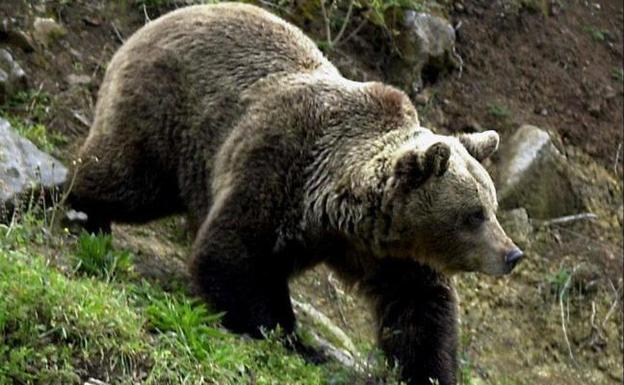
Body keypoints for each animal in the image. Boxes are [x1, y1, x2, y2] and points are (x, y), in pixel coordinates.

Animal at [68, 3, 524, 384]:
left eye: (492, 207)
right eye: (474, 214)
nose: (512, 254)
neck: (338, 210)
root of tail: (154, 23)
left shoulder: (389, 251)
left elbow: (421, 309)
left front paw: (430, 371)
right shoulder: (276, 166)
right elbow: (233, 255)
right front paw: (289, 337)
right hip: (169, 118)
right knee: (128, 178)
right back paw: (80, 212)